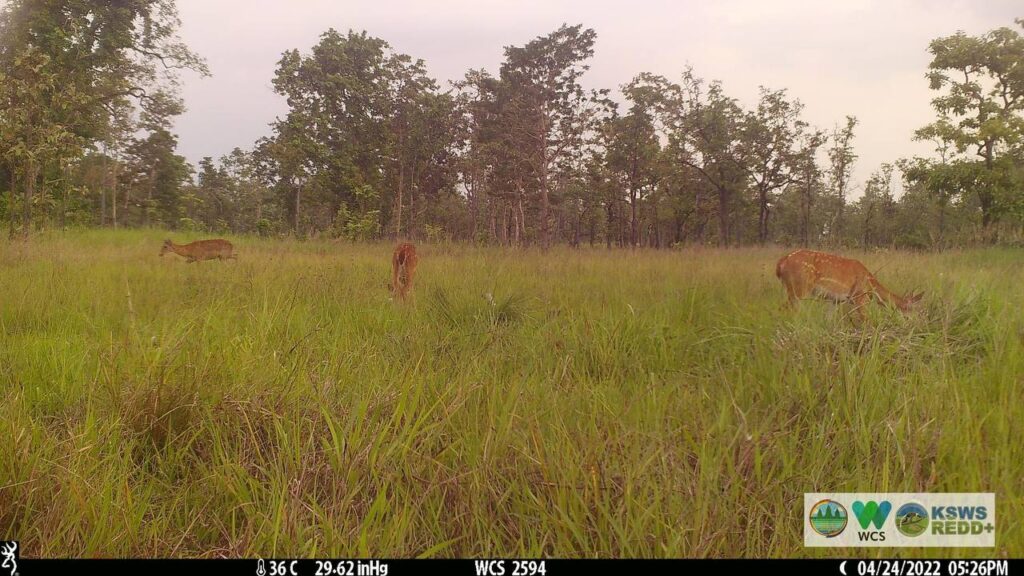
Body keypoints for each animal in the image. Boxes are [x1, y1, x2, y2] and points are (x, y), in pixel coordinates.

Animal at [776, 249, 922, 319]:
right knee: (784, 309)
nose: (917, 323)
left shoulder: (834, 300)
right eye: (912, 309)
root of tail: (782, 262)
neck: (871, 284)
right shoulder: (860, 297)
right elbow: (866, 322)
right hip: (799, 287)